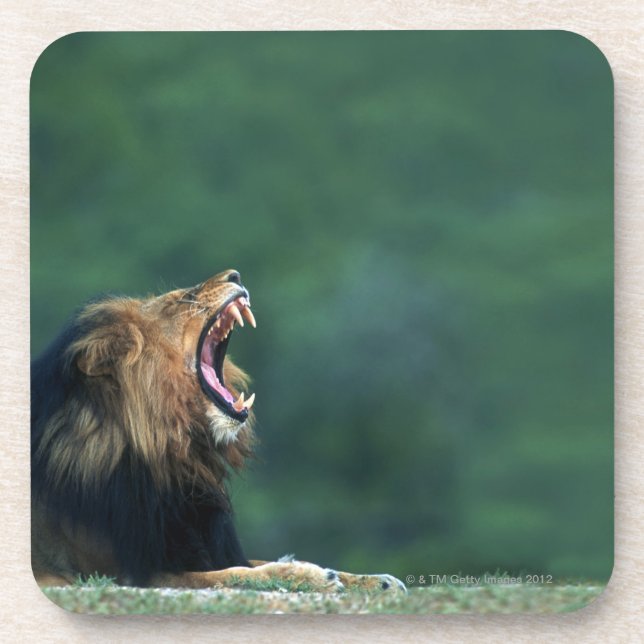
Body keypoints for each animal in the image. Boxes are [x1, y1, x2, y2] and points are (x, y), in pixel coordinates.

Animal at [31, 270, 405, 594]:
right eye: (180, 300)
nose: (235, 275)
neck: (178, 455)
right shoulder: (127, 571)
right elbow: (235, 574)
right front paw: (310, 577)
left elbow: (252, 562)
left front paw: (376, 580)